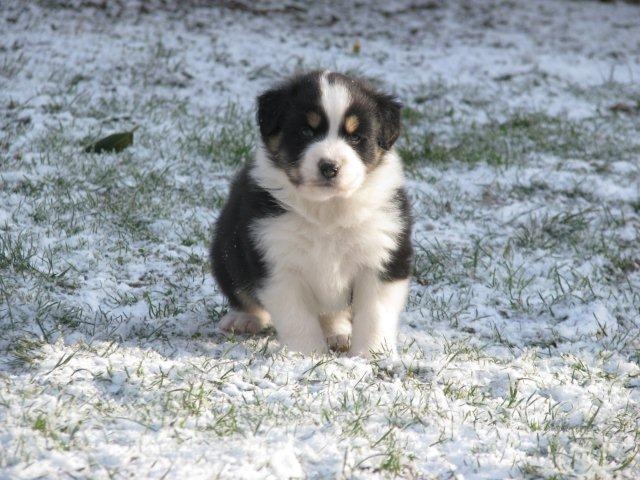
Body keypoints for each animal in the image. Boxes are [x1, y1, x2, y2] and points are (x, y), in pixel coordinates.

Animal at [210, 71, 412, 358]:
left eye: (356, 137)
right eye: (306, 131)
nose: (329, 167)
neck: (327, 210)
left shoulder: (382, 256)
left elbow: (374, 315)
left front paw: (371, 356)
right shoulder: (276, 260)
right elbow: (298, 318)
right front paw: (307, 356)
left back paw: (339, 335)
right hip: (227, 251)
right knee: (242, 292)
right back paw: (243, 319)